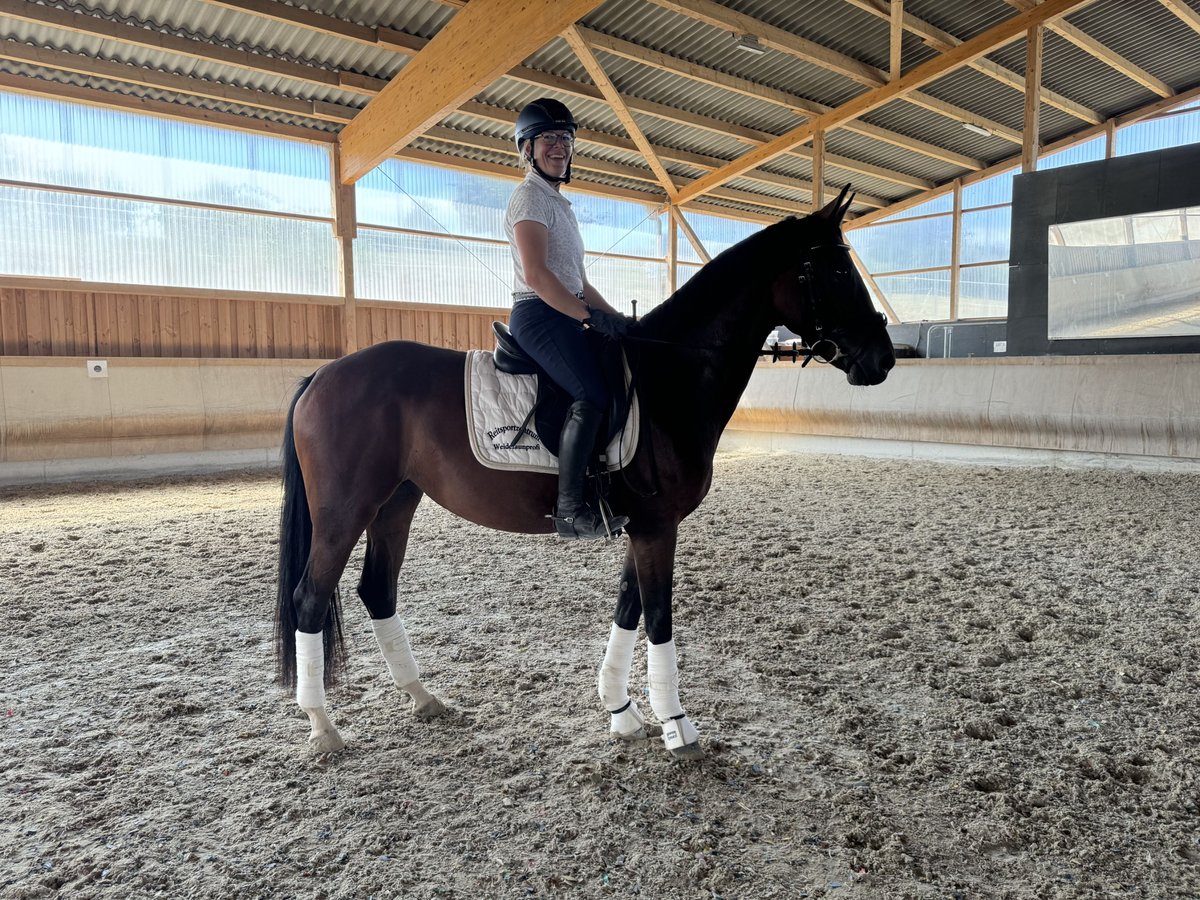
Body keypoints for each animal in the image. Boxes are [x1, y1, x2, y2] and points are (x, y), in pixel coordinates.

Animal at [272, 188, 892, 763]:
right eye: (838, 270)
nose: (883, 359)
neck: (670, 376)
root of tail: (324, 374)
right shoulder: (658, 526)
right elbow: (659, 615)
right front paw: (677, 726)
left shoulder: (642, 525)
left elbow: (629, 608)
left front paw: (622, 711)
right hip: (345, 510)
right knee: (310, 597)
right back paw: (323, 728)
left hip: (396, 503)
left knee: (377, 589)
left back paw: (422, 698)